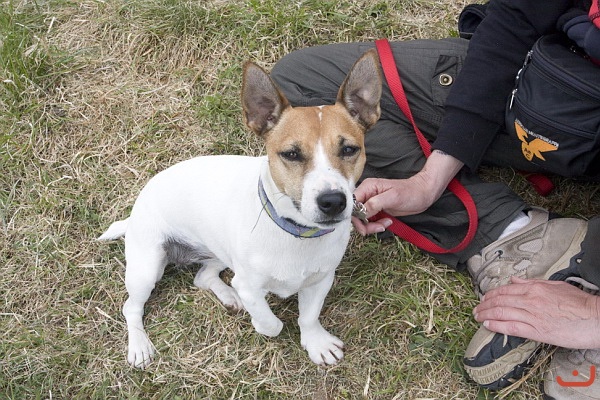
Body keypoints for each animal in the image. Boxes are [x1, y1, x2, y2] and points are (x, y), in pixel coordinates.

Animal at [99, 49, 382, 368]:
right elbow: (272, 323)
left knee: (202, 277)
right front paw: (261, 322)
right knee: (131, 307)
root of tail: (134, 213)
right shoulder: (249, 283)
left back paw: (228, 295)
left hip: (216, 251)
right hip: (147, 266)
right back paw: (139, 345)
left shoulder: (320, 279)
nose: (333, 201)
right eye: (291, 154)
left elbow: (309, 316)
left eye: (349, 149)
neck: (295, 233)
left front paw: (316, 342)